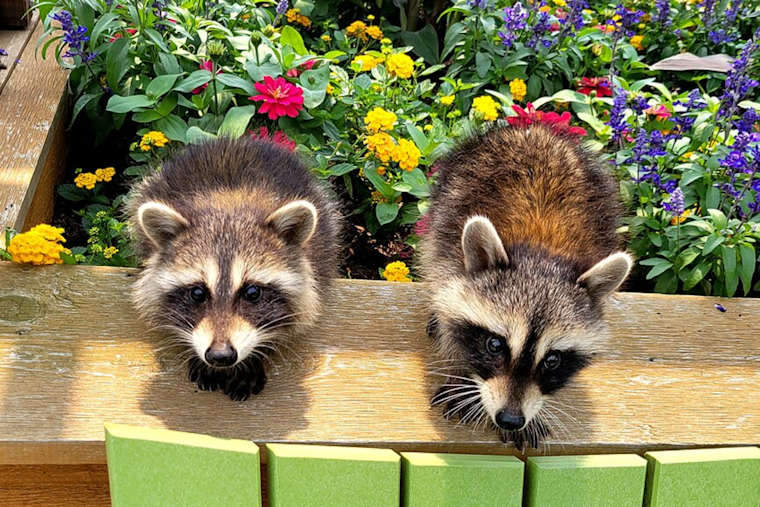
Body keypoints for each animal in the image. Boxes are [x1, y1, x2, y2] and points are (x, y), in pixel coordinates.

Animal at [422, 123, 632, 447]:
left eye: (553, 360)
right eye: (494, 345)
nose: (510, 419)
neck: (541, 251)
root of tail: (534, 128)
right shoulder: (448, 255)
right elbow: (448, 311)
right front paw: (464, 373)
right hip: (447, 198)